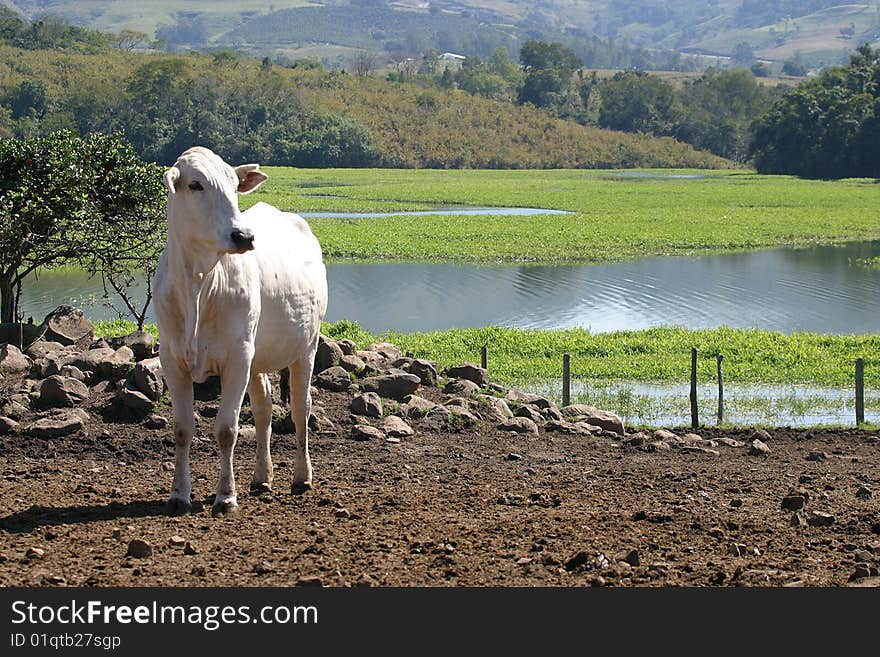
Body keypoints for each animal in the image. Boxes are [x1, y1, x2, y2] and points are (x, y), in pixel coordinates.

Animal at [153, 146, 328, 516]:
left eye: (234, 186)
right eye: (195, 184)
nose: (244, 236)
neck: (199, 284)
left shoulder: (237, 356)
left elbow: (227, 429)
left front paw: (226, 496)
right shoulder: (171, 359)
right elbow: (182, 428)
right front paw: (179, 495)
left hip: (306, 346)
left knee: (301, 408)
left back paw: (301, 477)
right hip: (258, 358)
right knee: (264, 409)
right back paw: (262, 477)